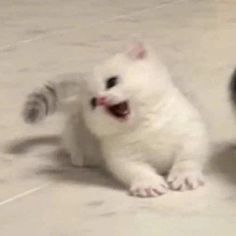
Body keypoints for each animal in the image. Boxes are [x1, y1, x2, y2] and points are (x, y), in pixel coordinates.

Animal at [23, 42, 209, 197]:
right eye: (93, 102)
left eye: (112, 81)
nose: (101, 99)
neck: (143, 126)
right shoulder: (122, 156)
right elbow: (136, 170)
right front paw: (148, 184)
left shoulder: (191, 132)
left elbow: (188, 157)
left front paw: (184, 176)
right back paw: (78, 158)